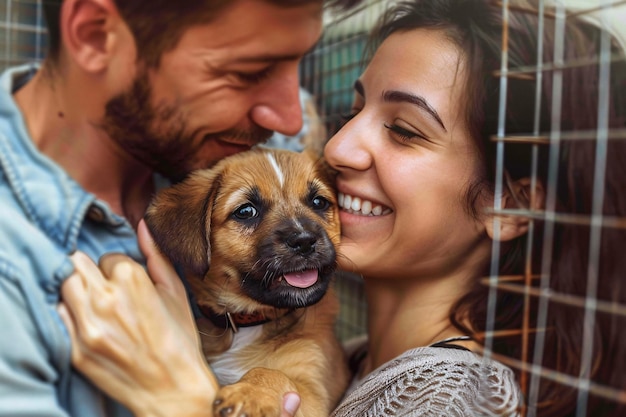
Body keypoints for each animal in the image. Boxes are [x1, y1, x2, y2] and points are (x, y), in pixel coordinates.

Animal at [144, 147, 348, 416]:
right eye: (246, 211)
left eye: (319, 202)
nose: (304, 240)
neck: (248, 324)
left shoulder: (314, 390)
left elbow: (273, 372)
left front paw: (251, 392)